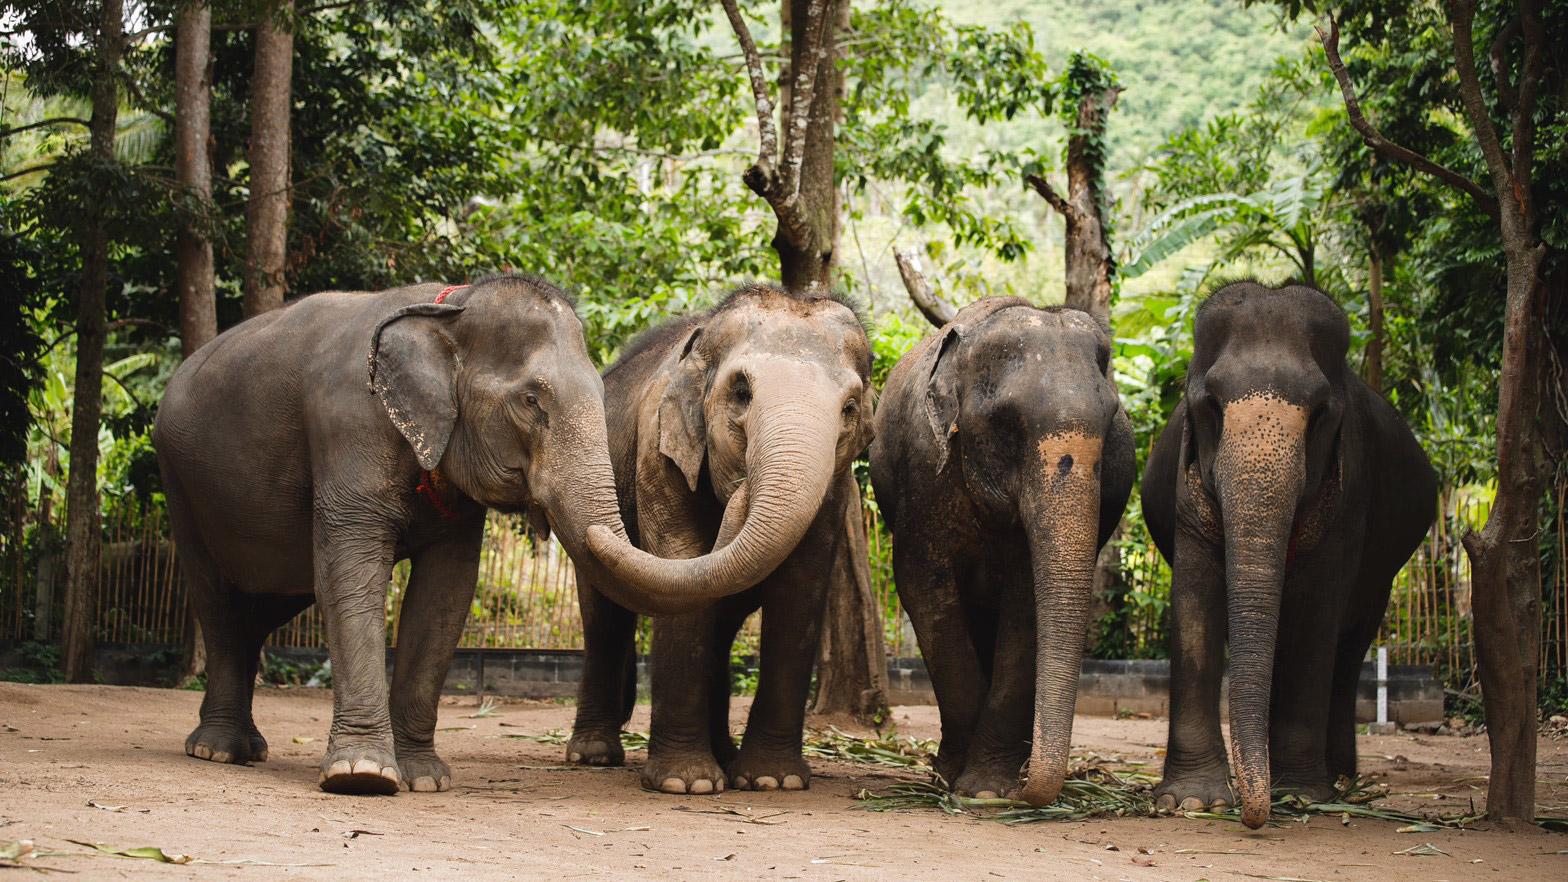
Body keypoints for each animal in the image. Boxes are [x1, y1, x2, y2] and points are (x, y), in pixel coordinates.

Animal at [156, 271, 743, 794]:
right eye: (531, 400)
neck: (450, 309)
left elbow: (445, 596)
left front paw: (424, 779)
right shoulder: (348, 426)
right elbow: (353, 576)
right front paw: (362, 776)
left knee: (263, 606)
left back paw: (242, 746)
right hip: (180, 482)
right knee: (217, 601)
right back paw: (218, 750)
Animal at [570, 280, 878, 790]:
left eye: (850, 408)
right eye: (741, 392)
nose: (742, 491)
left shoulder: (836, 488)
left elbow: (800, 589)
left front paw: (773, 782)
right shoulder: (658, 449)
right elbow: (682, 557)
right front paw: (685, 783)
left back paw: (727, 759)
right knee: (604, 619)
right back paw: (593, 756)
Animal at [865, 298, 1135, 809]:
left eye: (1112, 425)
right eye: (1008, 424)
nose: (1027, 796)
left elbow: (1026, 604)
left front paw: (989, 788)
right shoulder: (927, 475)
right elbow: (924, 589)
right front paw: (957, 781)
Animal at [1141, 279, 1436, 822]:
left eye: (1320, 413)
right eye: (1211, 404)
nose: (1251, 815)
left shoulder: (1349, 496)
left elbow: (1316, 613)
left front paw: (1300, 795)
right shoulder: (1184, 494)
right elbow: (1195, 605)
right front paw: (1192, 800)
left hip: (1383, 573)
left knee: (1349, 644)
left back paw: (1338, 777)